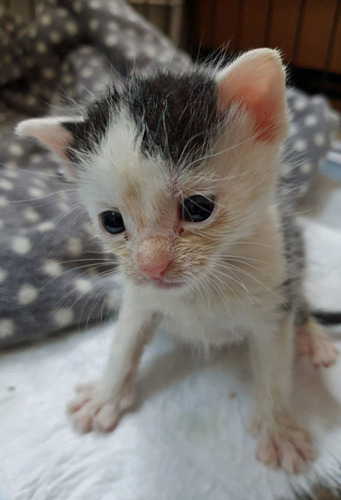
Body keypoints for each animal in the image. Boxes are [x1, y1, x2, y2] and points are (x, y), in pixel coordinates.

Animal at [16, 49, 338, 472]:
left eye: (198, 208)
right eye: (111, 221)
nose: (152, 266)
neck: (202, 288)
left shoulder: (274, 283)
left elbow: (274, 364)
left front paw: (277, 428)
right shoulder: (139, 297)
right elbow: (125, 341)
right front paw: (106, 395)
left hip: (294, 247)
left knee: (299, 296)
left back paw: (311, 335)